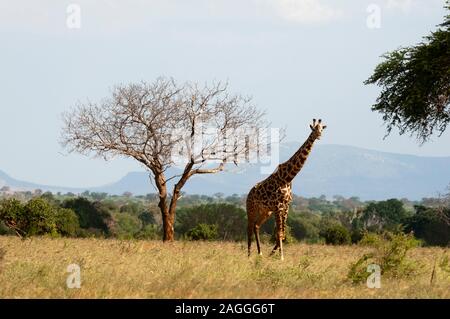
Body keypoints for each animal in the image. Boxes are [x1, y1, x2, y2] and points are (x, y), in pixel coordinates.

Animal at [248, 119, 326, 262]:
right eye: (313, 129)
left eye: (322, 129)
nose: (318, 136)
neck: (287, 178)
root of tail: (249, 192)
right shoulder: (278, 206)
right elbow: (279, 233)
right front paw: (281, 258)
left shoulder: (286, 206)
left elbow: (283, 233)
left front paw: (272, 254)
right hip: (251, 209)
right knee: (249, 228)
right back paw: (249, 255)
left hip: (265, 211)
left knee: (256, 226)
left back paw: (260, 253)